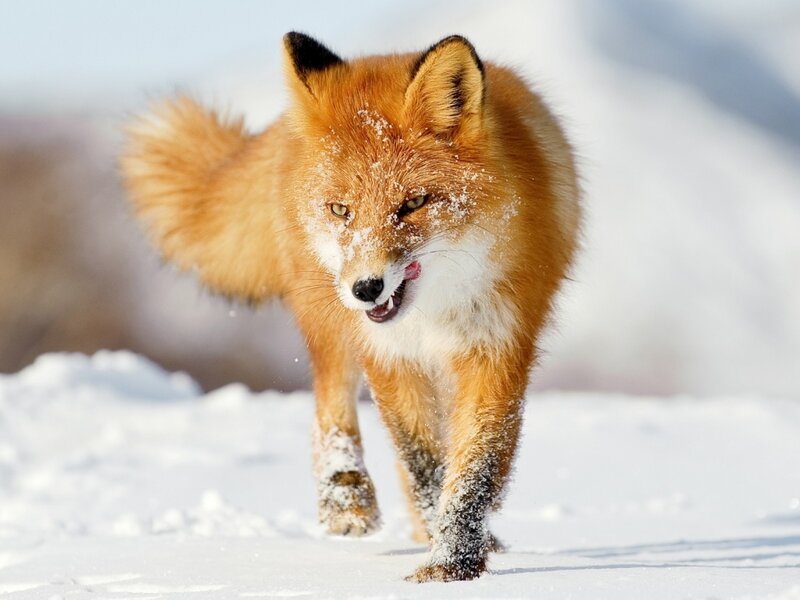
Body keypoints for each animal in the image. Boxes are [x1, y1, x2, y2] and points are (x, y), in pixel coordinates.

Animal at [120, 32, 581, 582]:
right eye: (342, 210)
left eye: (413, 204)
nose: (366, 288)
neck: (433, 314)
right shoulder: (389, 355)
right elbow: (424, 463)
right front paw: (447, 557)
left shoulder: (497, 348)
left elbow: (473, 468)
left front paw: (452, 562)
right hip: (330, 322)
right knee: (330, 407)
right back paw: (346, 500)